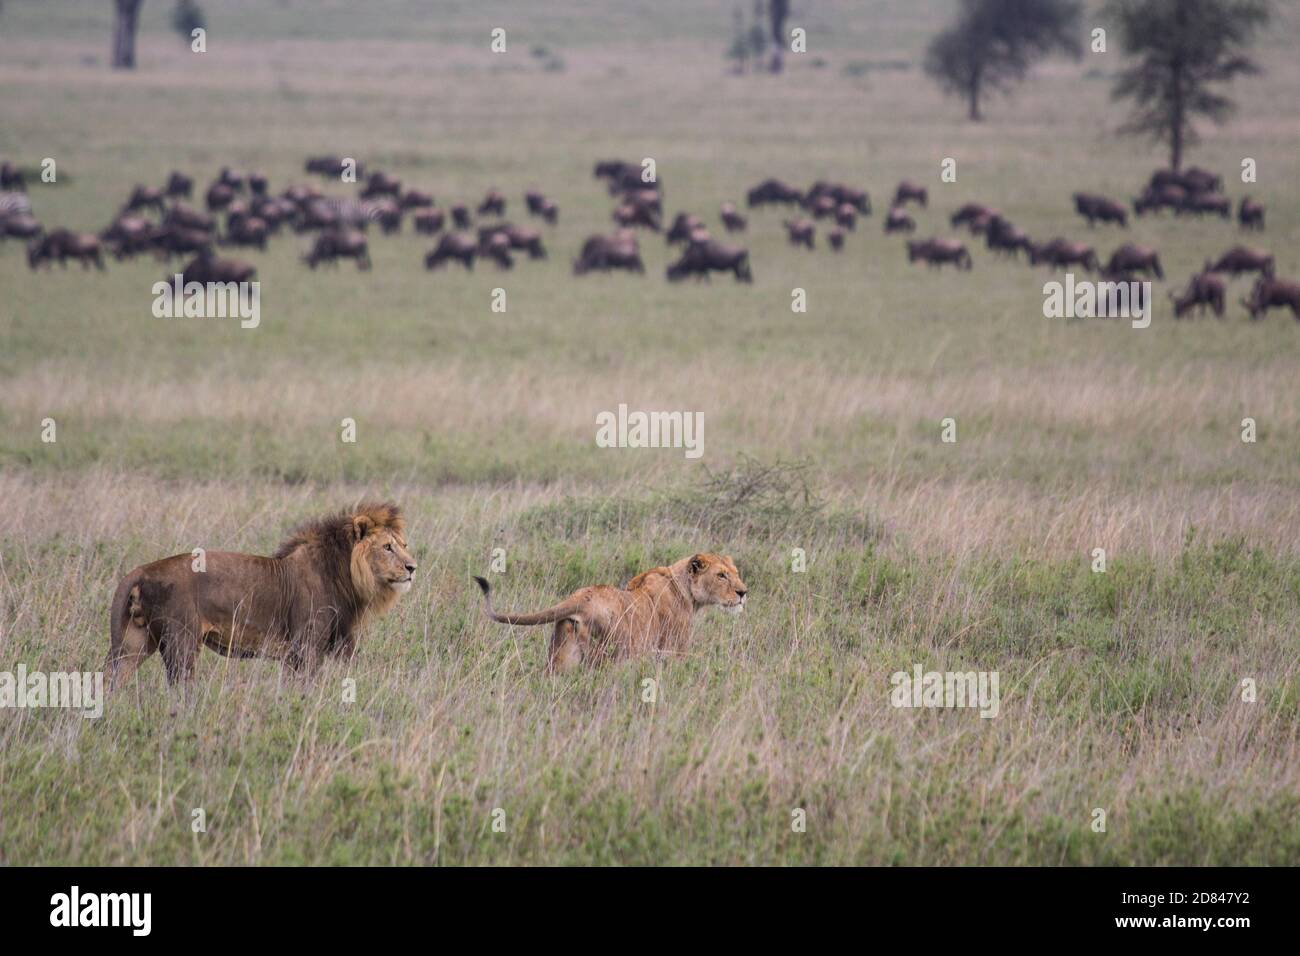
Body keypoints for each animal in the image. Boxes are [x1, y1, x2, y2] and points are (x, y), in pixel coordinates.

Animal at [106, 504, 413, 691]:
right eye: (387, 547)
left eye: (404, 545)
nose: (413, 567)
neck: (343, 574)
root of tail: (142, 570)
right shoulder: (307, 647)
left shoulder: (293, 656)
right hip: (181, 642)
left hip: (133, 642)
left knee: (111, 682)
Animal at [473, 554, 748, 671]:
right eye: (721, 575)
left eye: (735, 572)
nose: (743, 592)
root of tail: (580, 597)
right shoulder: (673, 650)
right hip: (609, 655)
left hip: (562, 657)